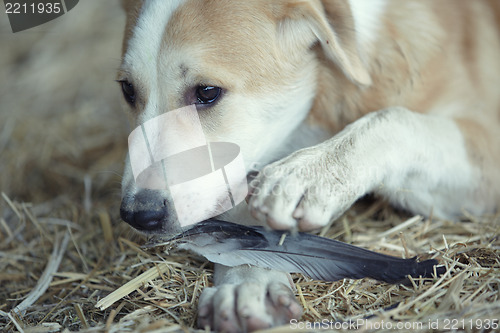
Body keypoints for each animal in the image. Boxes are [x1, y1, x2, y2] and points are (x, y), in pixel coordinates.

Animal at [118, 1, 500, 330]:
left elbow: (394, 118)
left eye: (208, 92)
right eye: (127, 90)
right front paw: (247, 279)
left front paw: (308, 174)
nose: (138, 215)